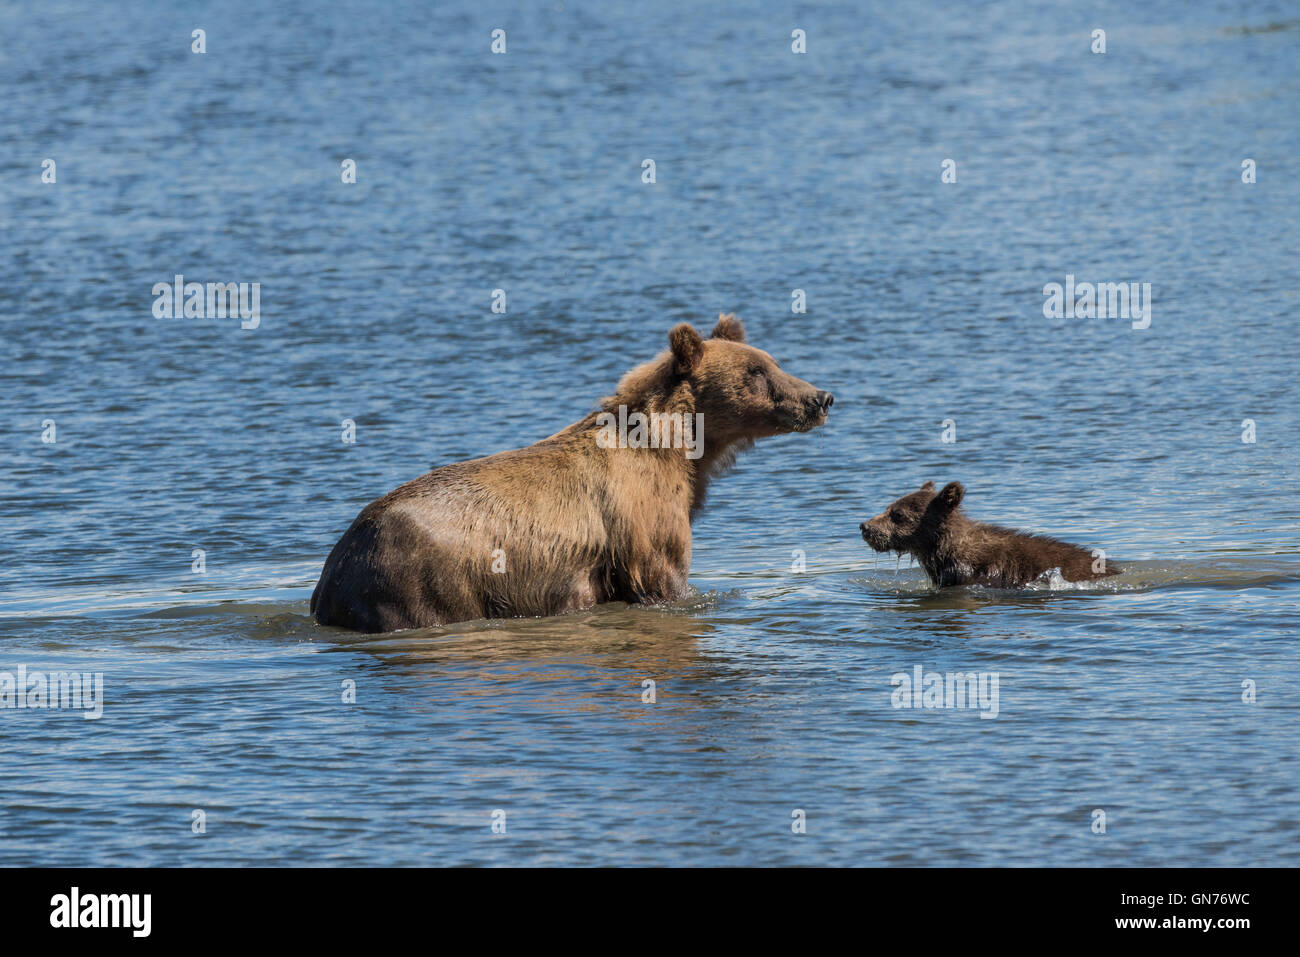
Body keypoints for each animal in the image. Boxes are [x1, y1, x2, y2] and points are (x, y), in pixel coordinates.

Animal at [311, 314, 833, 632]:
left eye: (774, 362)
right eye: (756, 372)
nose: (820, 397)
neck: (681, 451)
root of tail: (333, 571)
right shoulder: (642, 521)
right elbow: (666, 579)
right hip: (419, 582)